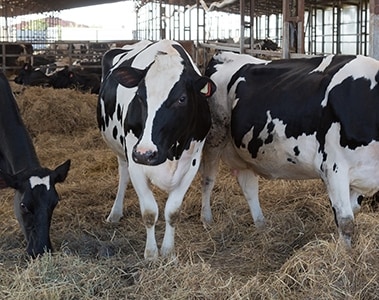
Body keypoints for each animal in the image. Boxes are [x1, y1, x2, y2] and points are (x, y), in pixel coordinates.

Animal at [97, 39, 217, 260]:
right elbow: (150, 211)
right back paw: (115, 213)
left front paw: (168, 252)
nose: (146, 153)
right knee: (123, 176)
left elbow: (173, 211)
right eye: (139, 95)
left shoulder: (192, 163)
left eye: (182, 99)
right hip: (122, 152)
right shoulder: (135, 159)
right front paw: (152, 253)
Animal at [203, 51, 379, 247]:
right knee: (208, 179)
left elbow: (353, 210)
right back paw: (207, 219)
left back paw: (261, 226)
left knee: (248, 186)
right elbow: (346, 221)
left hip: (243, 150)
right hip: (214, 136)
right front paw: (345, 254)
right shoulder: (333, 166)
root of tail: (222, 54)